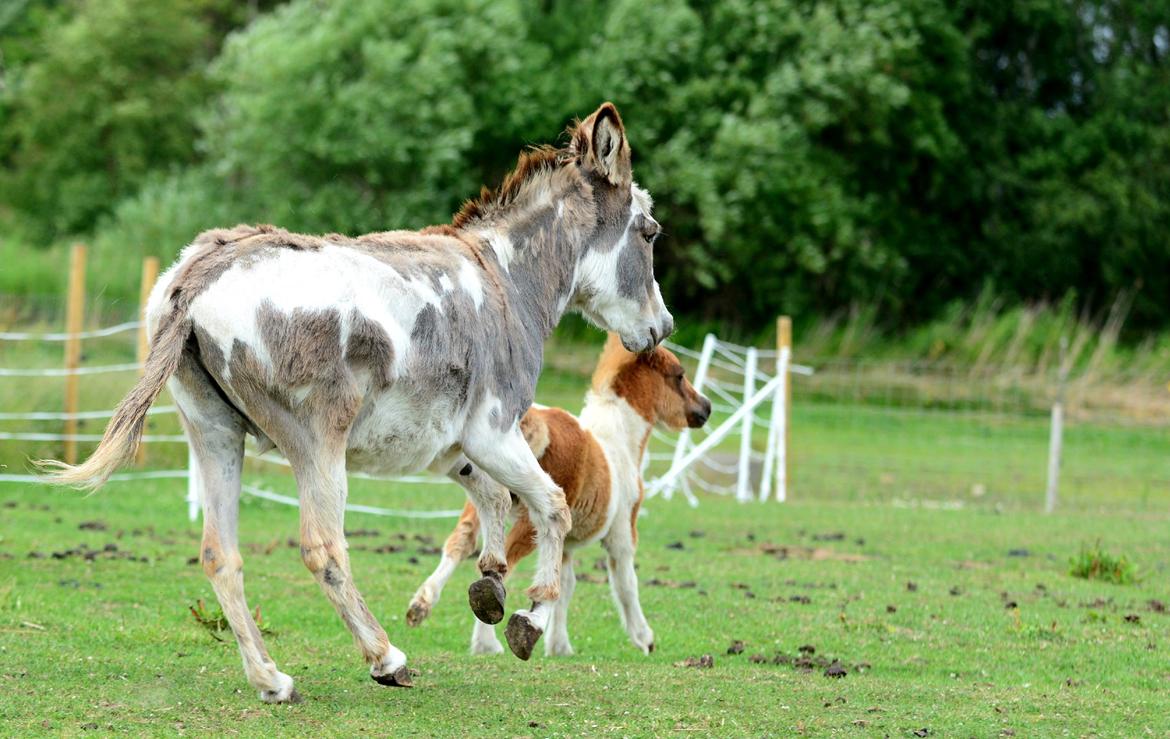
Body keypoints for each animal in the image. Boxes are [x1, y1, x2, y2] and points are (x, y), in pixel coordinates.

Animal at [407, 334, 706, 659]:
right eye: (679, 375)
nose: (706, 408)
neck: (619, 440)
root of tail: (528, 420)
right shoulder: (622, 533)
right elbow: (626, 584)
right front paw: (644, 639)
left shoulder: (567, 544)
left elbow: (565, 583)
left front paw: (558, 645)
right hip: (531, 518)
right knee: (499, 567)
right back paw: (488, 642)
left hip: (483, 497)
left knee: (460, 544)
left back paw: (421, 606)